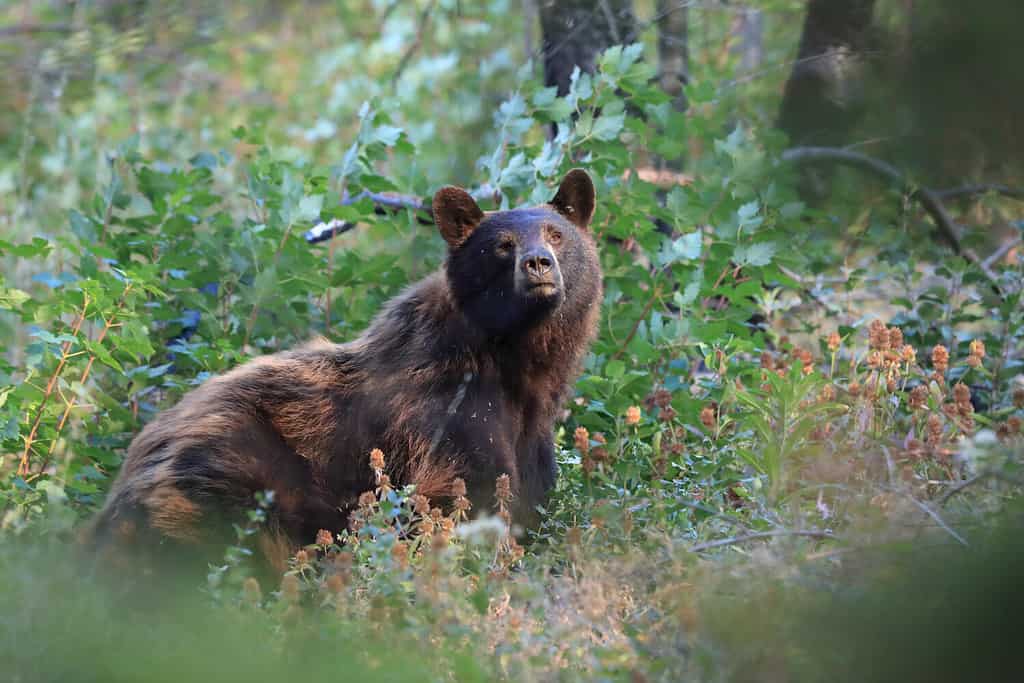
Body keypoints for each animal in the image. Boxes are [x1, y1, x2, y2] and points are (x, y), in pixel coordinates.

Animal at [92, 169, 602, 573]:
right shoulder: (446, 417)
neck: (517, 365)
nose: (538, 263)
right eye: (501, 245)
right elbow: (463, 497)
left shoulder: (529, 436)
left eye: (556, 234)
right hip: (229, 483)